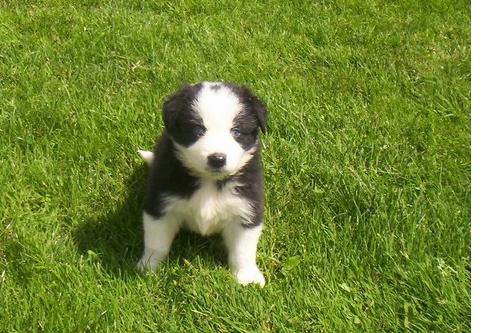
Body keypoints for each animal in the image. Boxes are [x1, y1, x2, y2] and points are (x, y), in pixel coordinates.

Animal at [137, 81, 268, 286]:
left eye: (236, 132)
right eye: (198, 130)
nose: (217, 158)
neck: (209, 181)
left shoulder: (246, 208)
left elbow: (243, 250)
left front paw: (247, 278)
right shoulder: (160, 204)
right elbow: (156, 243)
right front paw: (149, 267)